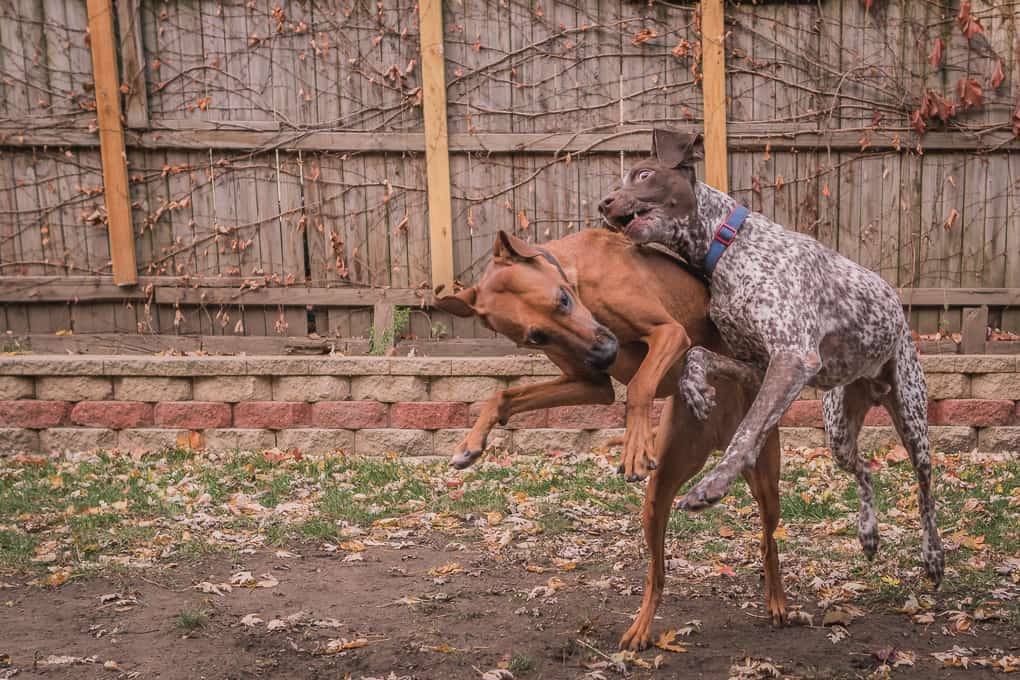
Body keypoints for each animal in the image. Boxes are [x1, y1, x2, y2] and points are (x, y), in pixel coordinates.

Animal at [434, 228, 783, 648]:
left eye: (563, 299)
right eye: (537, 337)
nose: (605, 353)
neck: (579, 273)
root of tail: (720, 432)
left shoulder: (669, 333)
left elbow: (639, 384)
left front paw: (634, 445)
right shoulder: (590, 382)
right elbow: (504, 395)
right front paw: (469, 444)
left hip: (764, 476)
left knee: (768, 538)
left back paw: (778, 600)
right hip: (660, 493)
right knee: (658, 573)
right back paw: (642, 627)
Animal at [599, 130, 942, 587]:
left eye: (643, 174)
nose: (603, 204)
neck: (728, 246)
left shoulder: (791, 358)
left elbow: (747, 430)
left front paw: (713, 485)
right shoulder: (759, 365)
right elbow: (697, 356)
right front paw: (697, 392)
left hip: (912, 418)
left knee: (925, 490)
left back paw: (933, 555)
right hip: (838, 432)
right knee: (866, 471)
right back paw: (868, 534)